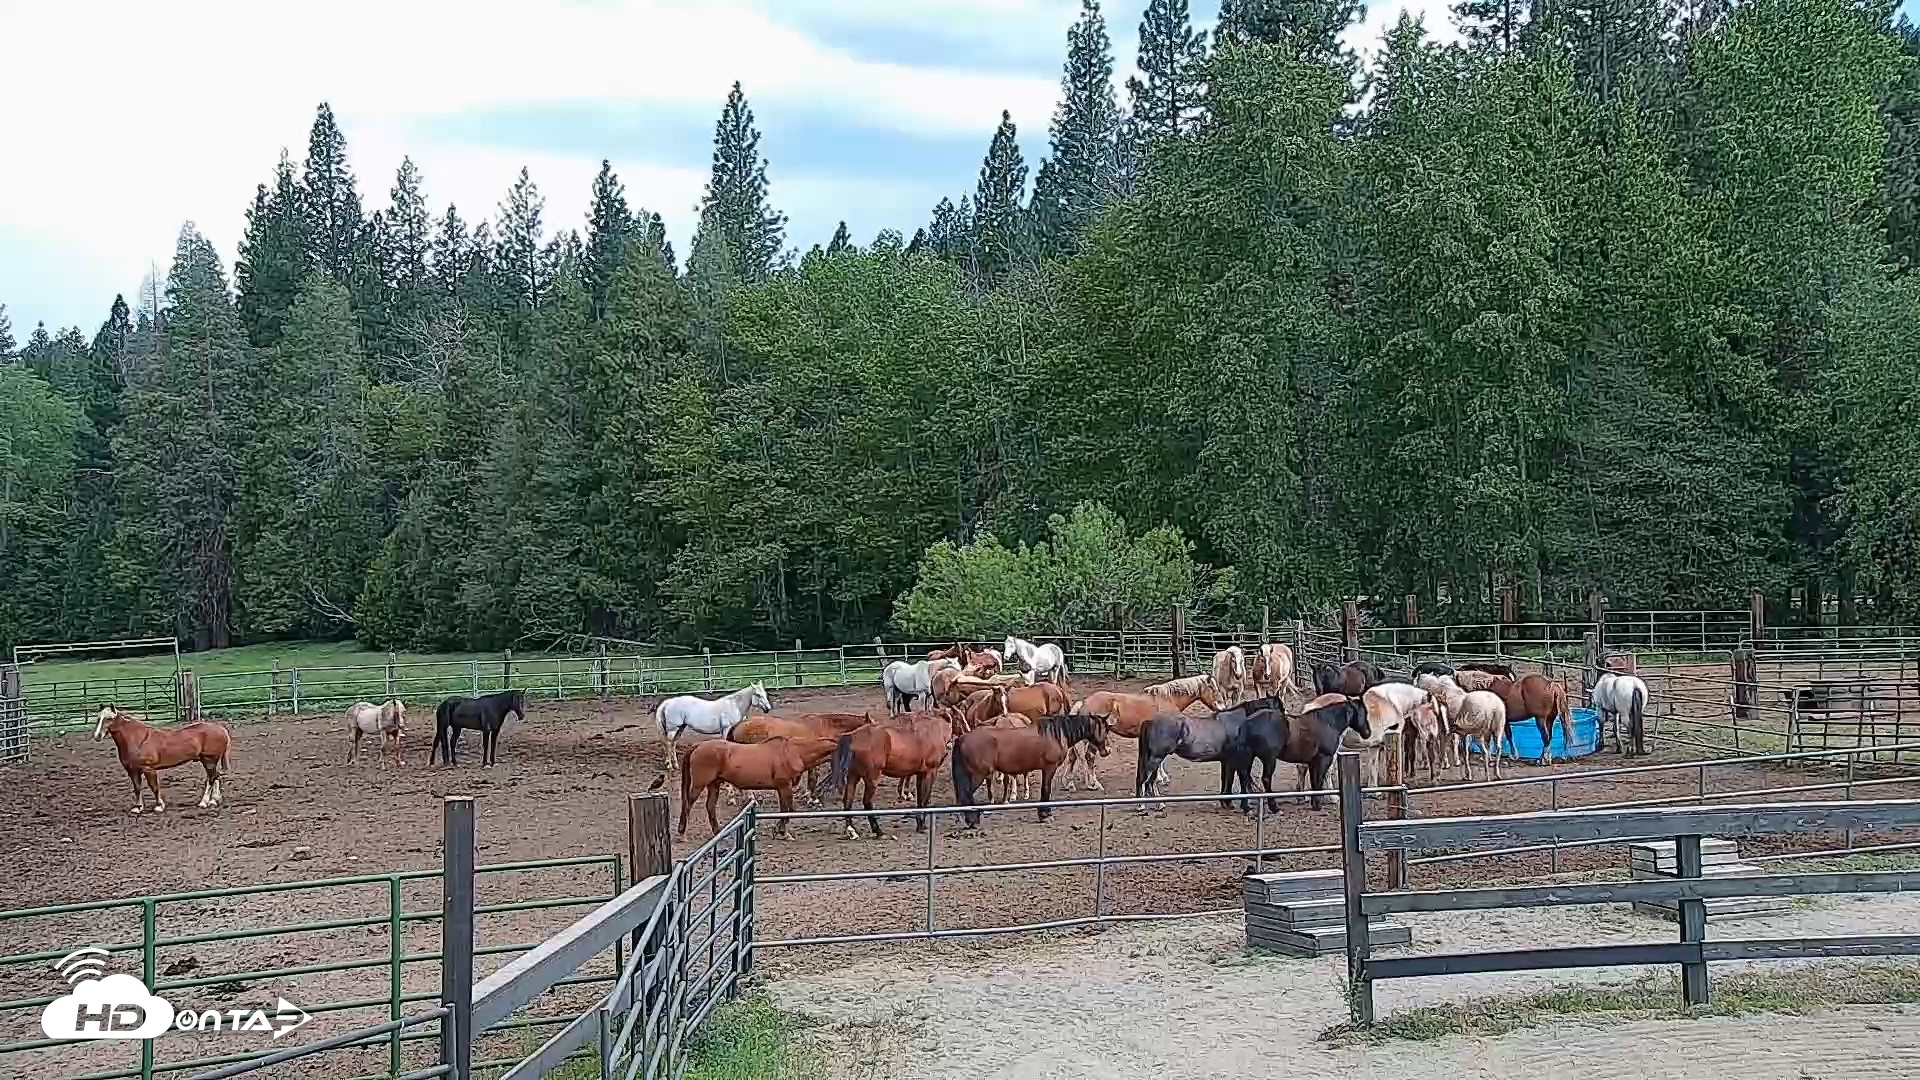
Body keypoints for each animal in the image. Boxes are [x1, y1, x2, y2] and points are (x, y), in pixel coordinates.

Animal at [94, 707, 231, 814]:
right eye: (98, 718)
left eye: (109, 718)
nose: (97, 736)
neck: (138, 739)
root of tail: (221, 729)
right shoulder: (132, 771)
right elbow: (137, 788)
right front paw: (138, 808)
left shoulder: (148, 769)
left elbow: (154, 787)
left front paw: (159, 806)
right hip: (209, 761)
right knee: (215, 777)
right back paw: (214, 800)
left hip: (209, 760)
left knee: (211, 779)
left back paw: (204, 802)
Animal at [664, 736, 840, 839]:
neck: (793, 752)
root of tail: (698, 746)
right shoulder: (785, 786)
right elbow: (788, 810)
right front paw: (782, 832)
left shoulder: (782, 788)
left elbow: (785, 810)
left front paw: (780, 830)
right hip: (700, 784)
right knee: (688, 804)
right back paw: (682, 833)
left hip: (714, 784)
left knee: (710, 806)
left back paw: (718, 831)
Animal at [824, 708, 957, 839]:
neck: (934, 729)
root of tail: (852, 736)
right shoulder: (930, 772)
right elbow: (925, 798)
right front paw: (921, 825)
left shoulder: (920, 773)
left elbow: (920, 799)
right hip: (872, 778)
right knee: (866, 802)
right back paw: (878, 831)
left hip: (853, 776)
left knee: (847, 800)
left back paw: (851, 831)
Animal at [952, 714, 1109, 828]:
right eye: (1105, 729)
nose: (1106, 751)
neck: (1054, 734)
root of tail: (962, 738)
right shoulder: (1049, 768)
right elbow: (1046, 790)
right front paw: (1045, 815)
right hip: (978, 775)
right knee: (966, 794)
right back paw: (972, 821)